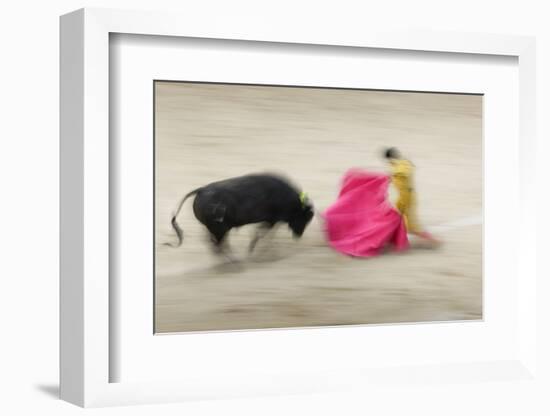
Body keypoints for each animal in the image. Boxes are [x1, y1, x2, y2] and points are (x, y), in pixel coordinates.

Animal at [167, 174, 314, 252]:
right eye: (304, 218)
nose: (298, 235)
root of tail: (201, 190)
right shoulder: (272, 219)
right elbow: (262, 233)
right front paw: (254, 248)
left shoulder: (271, 220)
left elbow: (263, 233)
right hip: (220, 228)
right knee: (218, 245)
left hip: (215, 228)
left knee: (214, 243)